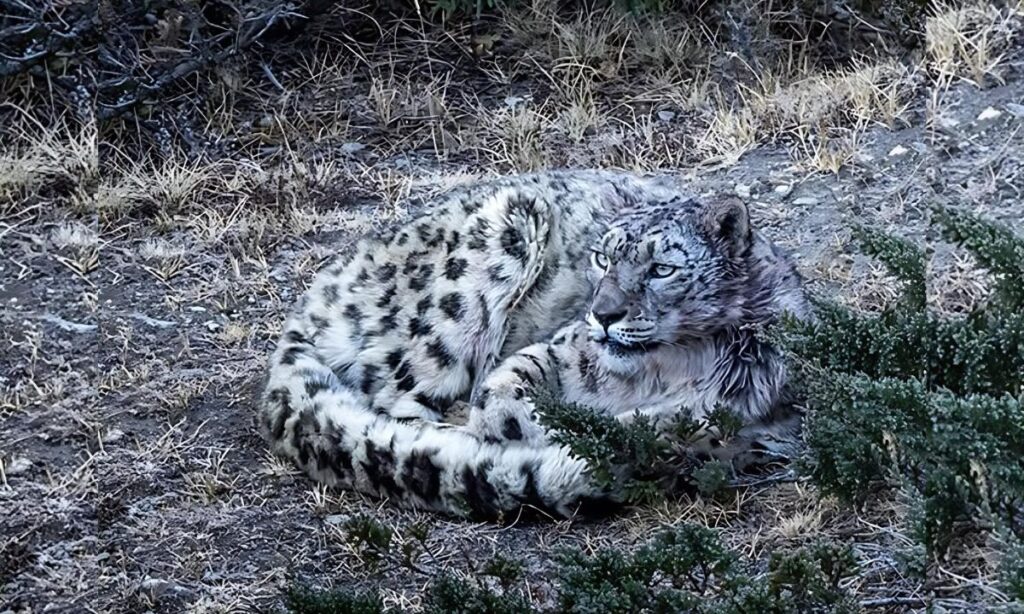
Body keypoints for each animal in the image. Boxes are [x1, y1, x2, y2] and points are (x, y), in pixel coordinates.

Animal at [259, 169, 812, 519]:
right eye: (602, 258)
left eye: (661, 268)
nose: (603, 314)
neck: (667, 367)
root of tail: (323, 288)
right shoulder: (558, 350)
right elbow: (505, 396)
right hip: (482, 264)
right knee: (400, 403)